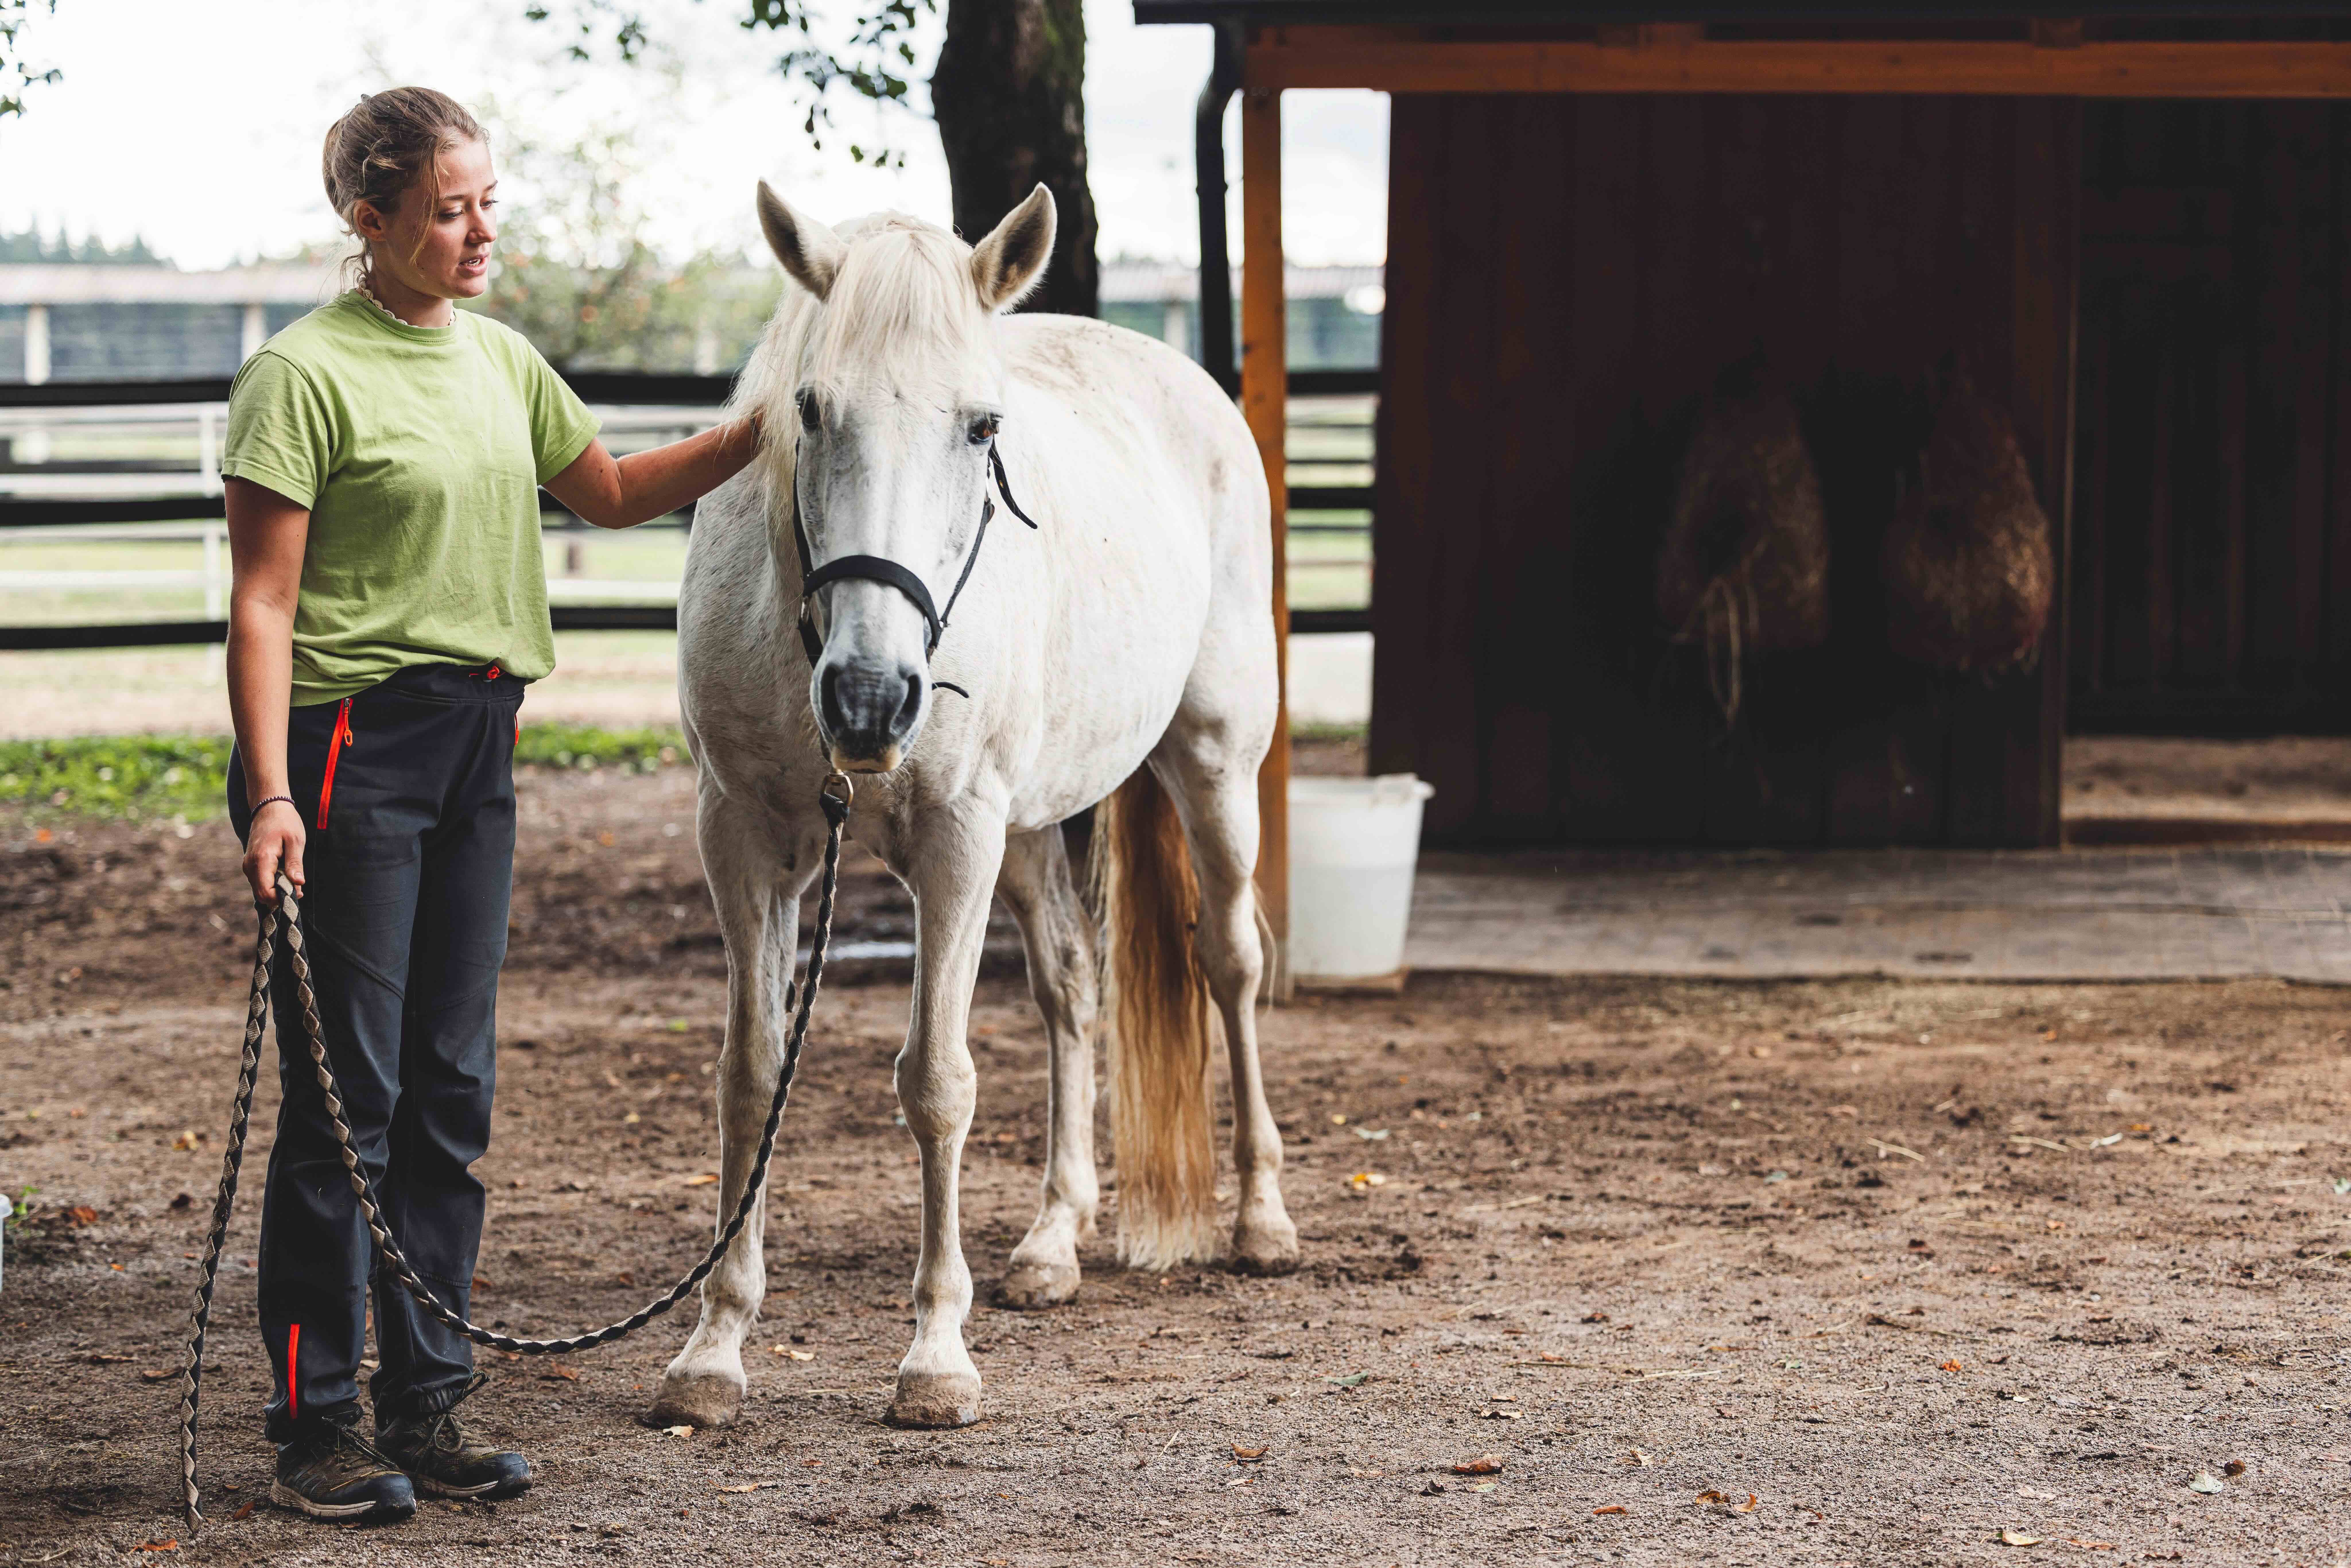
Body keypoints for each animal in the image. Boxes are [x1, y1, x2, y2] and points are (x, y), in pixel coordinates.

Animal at [646, 182, 1299, 1431]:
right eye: (811, 408)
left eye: (983, 428)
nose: (869, 695)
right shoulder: (744, 840)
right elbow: (751, 1076)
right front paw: (714, 1347)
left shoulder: (957, 841)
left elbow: (937, 1085)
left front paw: (935, 1356)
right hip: (1034, 830)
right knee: (1071, 990)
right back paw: (1052, 1240)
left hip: (1211, 769)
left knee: (1231, 963)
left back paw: (1260, 1218)